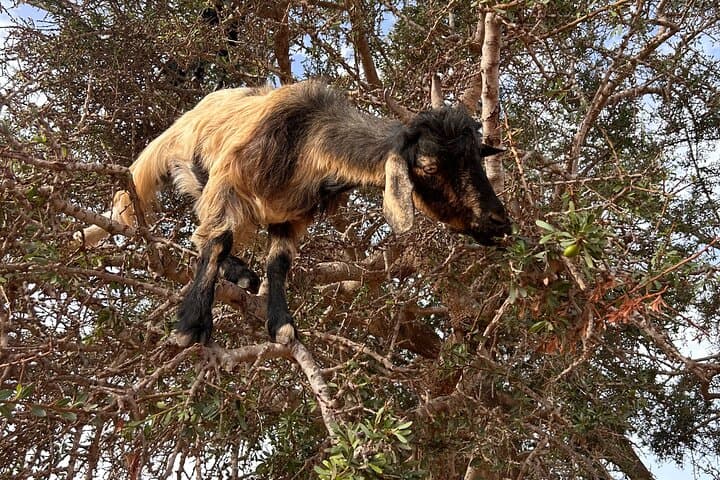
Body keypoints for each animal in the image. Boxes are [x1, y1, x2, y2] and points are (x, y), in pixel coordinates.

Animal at [75, 80, 512, 346]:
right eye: (429, 167)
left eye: (477, 157)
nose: (499, 222)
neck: (305, 140)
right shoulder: (228, 181)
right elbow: (217, 241)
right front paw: (190, 325)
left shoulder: (293, 217)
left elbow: (279, 263)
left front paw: (282, 324)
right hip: (194, 171)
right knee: (205, 234)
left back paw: (242, 274)